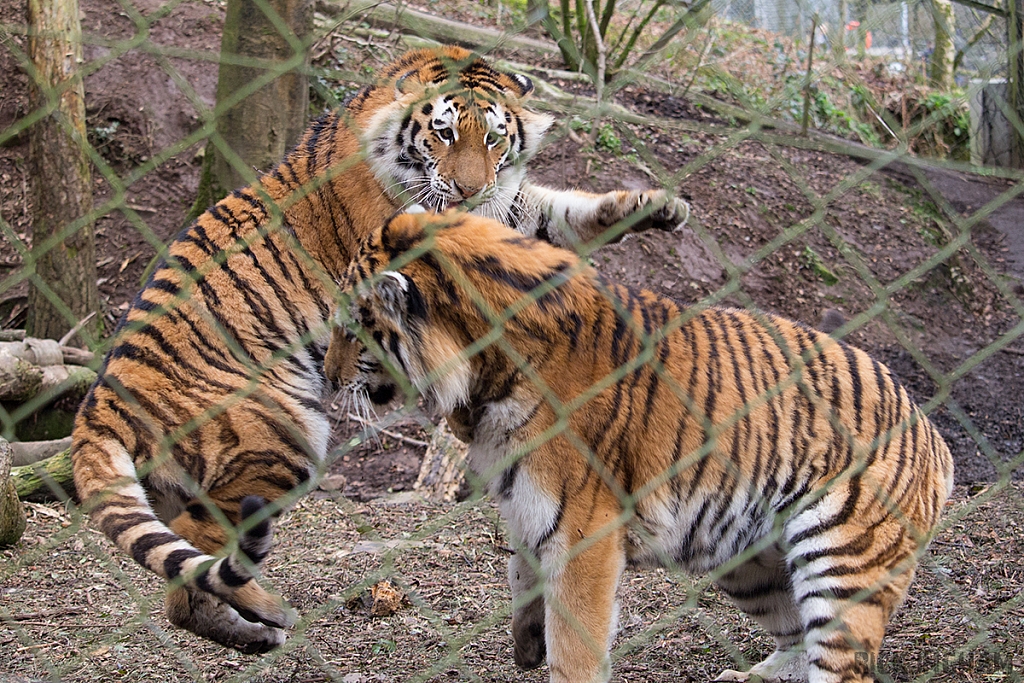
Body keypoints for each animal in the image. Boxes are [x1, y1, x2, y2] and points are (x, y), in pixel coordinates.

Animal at [70, 45, 688, 655]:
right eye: (443, 134)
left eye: (493, 139)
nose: (470, 190)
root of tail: (97, 406)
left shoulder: (505, 209)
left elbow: (563, 212)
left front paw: (656, 206)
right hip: (281, 435)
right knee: (197, 556)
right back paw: (270, 616)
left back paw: (253, 632)